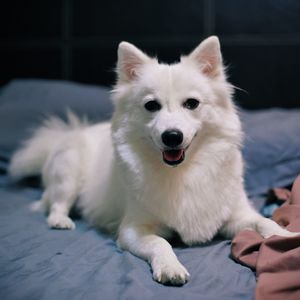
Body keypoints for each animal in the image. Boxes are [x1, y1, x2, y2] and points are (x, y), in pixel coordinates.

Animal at [8, 36, 298, 284]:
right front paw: (170, 267)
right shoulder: (133, 229)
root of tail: (70, 132)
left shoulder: (236, 216)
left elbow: (264, 222)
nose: (172, 136)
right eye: (151, 106)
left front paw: (286, 236)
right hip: (68, 174)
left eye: (192, 104)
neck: (184, 172)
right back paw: (61, 221)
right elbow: (161, 242)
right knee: (55, 203)